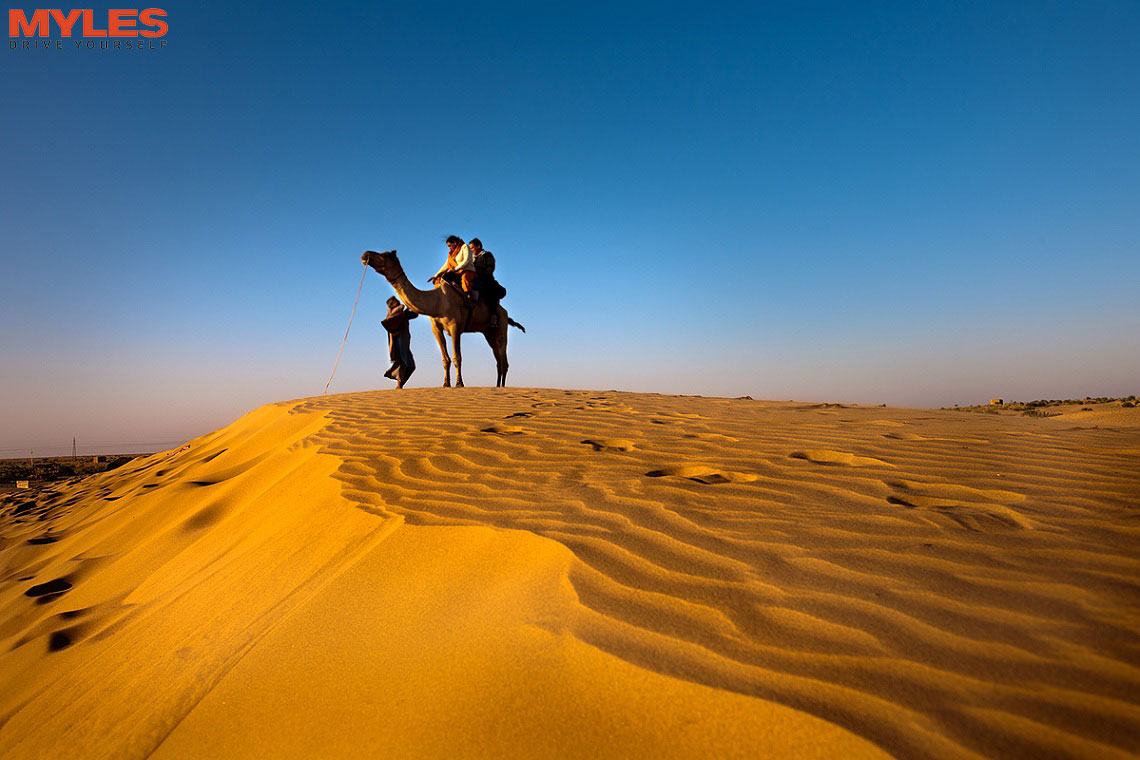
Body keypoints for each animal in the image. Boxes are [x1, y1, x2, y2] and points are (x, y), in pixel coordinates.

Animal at [360, 252, 524, 389]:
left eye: (385, 255)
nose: (365, 254)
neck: (438, 301)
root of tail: (505, 313)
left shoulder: (455, 327)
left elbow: (457, 357)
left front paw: (459, 383)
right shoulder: (436, 329)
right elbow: (445, 359)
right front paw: (445, 384)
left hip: (501, 324)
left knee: (503, 353)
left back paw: (502, 386)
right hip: (488, 332)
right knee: (497, 357)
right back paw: (497, 385)